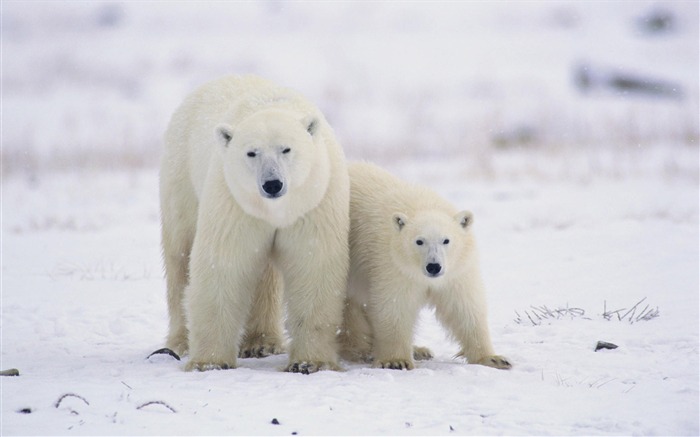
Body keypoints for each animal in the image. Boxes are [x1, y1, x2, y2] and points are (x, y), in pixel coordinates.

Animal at [161, 74, 352, 372]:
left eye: (286, 149)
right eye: (252, 153)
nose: (272, 184)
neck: (275, 210)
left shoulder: (314, 200)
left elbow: (313, 265)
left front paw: (309, 362)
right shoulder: (233, 200)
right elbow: (224, 263)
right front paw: (210, 362)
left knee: (265, 275)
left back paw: (262, 343)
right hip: (181, 176)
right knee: (180, 256)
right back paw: (180, 342)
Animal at [340, 162, 512, 370]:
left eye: (446, 240)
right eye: (419, 241)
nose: (433, 266)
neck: (421, 206)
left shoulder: (457, 270)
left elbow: (464, 307)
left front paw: (494, 358)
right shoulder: (393, 264)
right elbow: (395, 305)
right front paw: (396, 360)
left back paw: (419, 350)